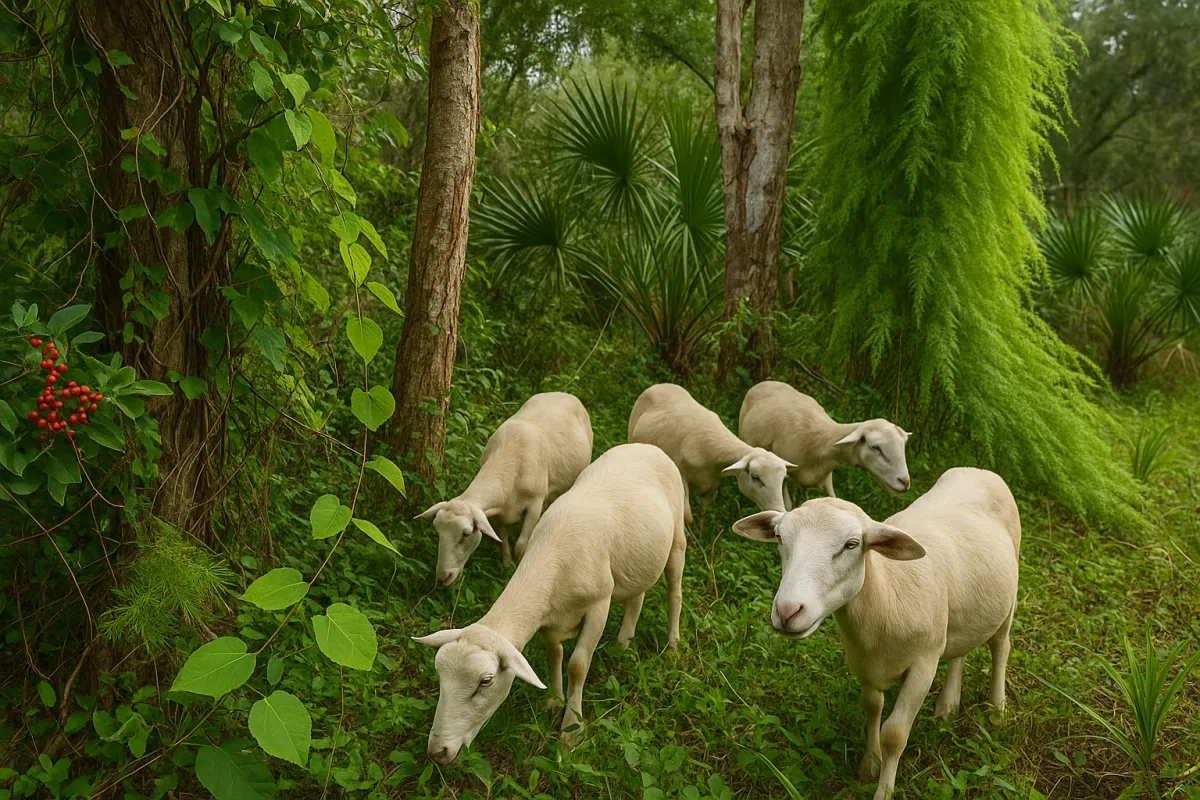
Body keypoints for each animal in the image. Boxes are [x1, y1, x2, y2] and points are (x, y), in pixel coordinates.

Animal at [413, 443, 688, 765]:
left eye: (485, 681)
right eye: (440, 676)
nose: (438, 752)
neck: (553, 559)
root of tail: (647, 446)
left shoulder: (599, 605)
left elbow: (577, 666)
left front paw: (571, 730)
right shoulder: (549, 619)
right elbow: (554, 655)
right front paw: (553, 702)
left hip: (677, 540)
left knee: (675, 592)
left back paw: (672, 646)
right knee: (637, 596)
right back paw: (624, 644)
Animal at [417, 392, 593, 586]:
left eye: (466, 534)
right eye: (437, 529)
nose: (442, 578)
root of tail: (563, 394)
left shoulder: (534, 503)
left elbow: (521, 545)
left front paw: (516, 569)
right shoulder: (497, 512)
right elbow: (503, 540)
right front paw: (507, 564)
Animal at [628, 383, 796, 519]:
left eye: (783, 479)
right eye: (755, 477)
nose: (779, 510)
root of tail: (659, 385)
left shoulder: (712, 485)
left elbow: (704, 512)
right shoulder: (681, 477)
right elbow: (687, 516)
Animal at [732, 467, 1020, 800]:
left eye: (851, 544)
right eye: (779, 537)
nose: (787, 611)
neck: (886, 596)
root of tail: (976, 470)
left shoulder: (924, 664)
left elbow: (894, 735)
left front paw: (883, 790)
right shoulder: (864, 663)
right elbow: (871, 709)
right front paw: (870, 764)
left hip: (1009, 597)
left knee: (1001, 646)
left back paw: (997, 709)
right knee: (959, 650)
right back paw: (948, 705)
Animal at [738, 380, 912, 498]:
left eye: (903, 445)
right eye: (876, 447)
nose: (904, 482)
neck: (821, 442)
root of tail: (764, 382)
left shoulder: (826, 476)